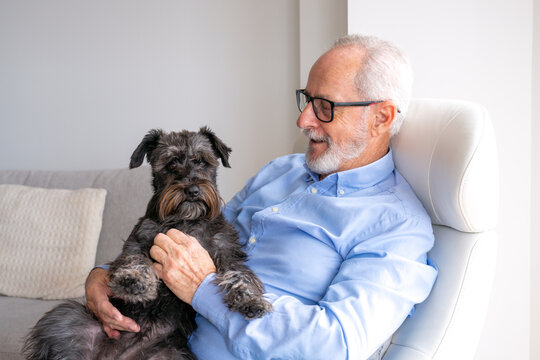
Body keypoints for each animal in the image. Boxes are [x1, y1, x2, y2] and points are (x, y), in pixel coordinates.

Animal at [22, 127, 272, 360]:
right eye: (172, 163)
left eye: (202, 161)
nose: (192, 190)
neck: (186, 221)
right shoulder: (141, 238)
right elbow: (135, 259)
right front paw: (133, 281)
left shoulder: (226, 251)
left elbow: (239, 275)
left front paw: (251, 301)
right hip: (65, 319)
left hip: (173, 355)